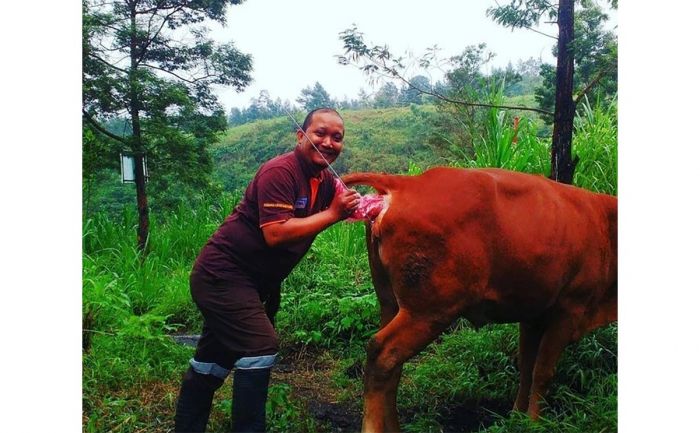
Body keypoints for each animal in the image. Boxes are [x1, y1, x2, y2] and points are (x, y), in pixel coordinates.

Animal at [342, 167, 616, 432]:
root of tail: (406, 182)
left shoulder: (533, 315)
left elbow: (527, 367)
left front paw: (517, 416)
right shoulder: (569, 309)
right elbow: (543, 372)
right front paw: (534, 422)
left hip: (391, 303)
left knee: (392, 367)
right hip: (428, 311)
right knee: (382, 354)